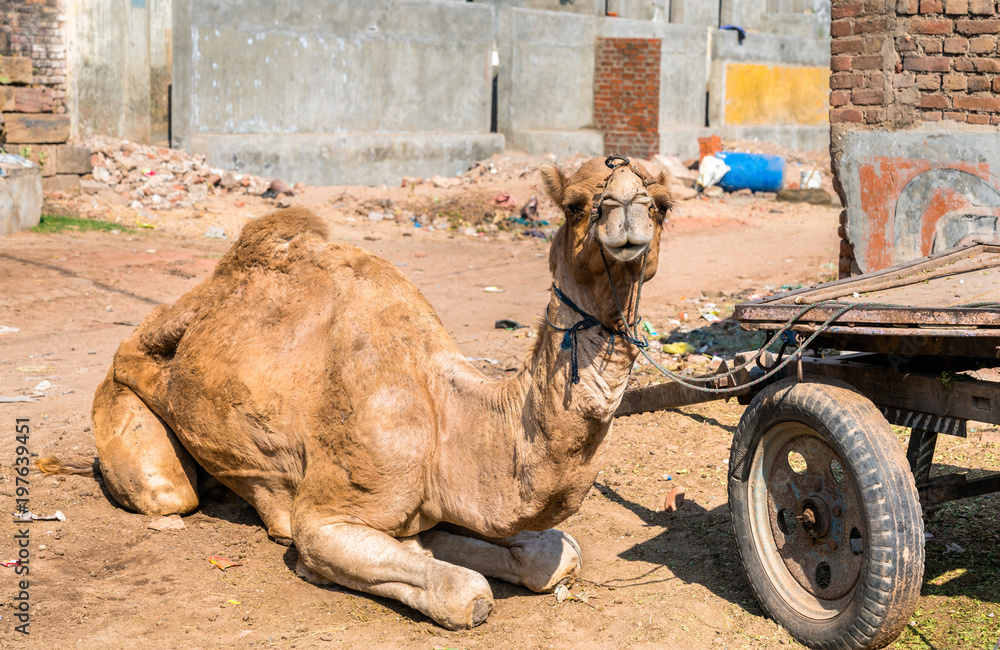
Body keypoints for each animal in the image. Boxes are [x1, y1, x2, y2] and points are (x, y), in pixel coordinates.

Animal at [68, 157, 672, 628]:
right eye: (573, 205)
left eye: (663, 205)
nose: (627, 210)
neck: (448, 413)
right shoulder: (325, 519)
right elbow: (466, 591)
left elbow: (554, 550)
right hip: (125, 409)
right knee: (169, 492)